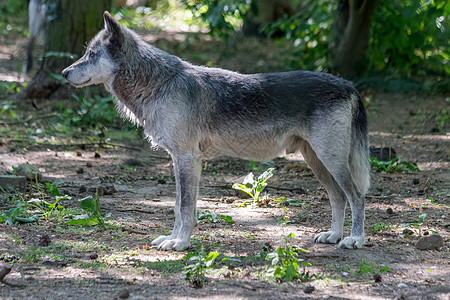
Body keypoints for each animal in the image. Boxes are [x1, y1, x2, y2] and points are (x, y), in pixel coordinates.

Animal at [61, 11, 370, 251]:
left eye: (90, 55)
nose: (64, 73)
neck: (159, 84)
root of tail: (349, 85)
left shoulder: (186, 158)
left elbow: (184, 208)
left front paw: (180, 244)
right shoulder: (182, 161)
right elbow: (179, 206)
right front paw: (173, 239)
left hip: (330, 160)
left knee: (356, 196)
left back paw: (354, 239)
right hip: (316, 161)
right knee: (338, 197)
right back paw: (333, 236)